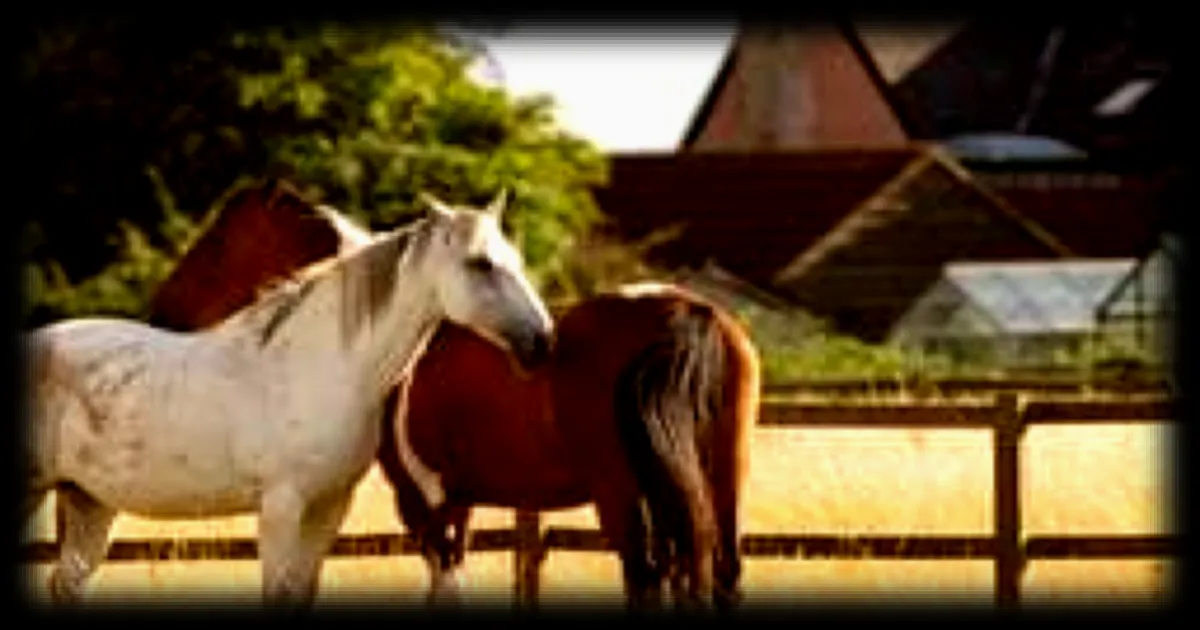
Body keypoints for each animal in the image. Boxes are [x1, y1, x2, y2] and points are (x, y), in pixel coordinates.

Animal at [22, 189, 553, 610]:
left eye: (514, 260)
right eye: (480, 263)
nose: (543, 341)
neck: (322, 369)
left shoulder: (329, 506)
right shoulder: (281, 506)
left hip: (89, 503)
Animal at [145, 182, 761, 611]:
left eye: (215, 244)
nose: (162, 309)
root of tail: (687, 310)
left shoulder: (421, 501)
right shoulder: (458, 500)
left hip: (621, 494)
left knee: (644, 578)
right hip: (719, 479)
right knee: (724, 572)